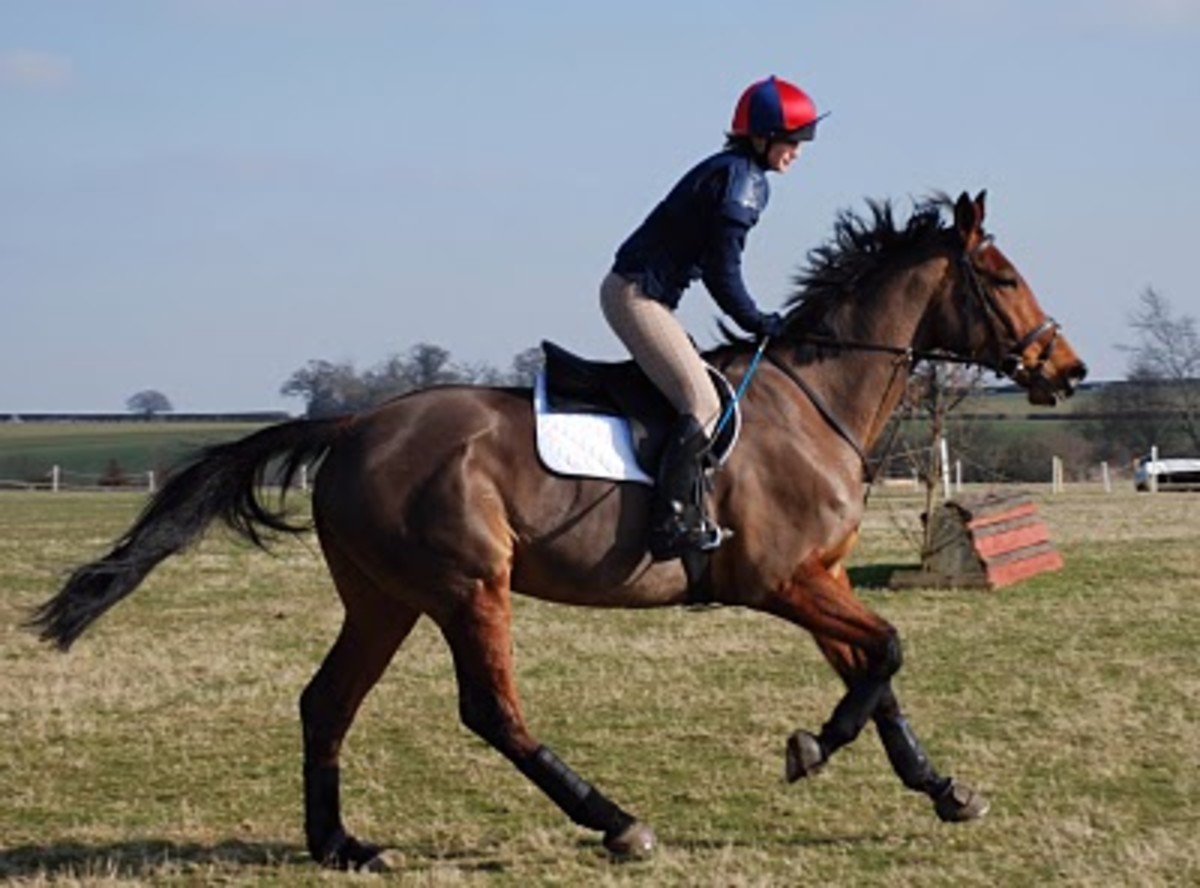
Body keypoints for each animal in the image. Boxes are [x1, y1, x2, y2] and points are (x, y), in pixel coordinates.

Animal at [29, 191, 1087, 871]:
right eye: (1003, 277)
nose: (1068, 370)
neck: (812, 397)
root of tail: (357, 423)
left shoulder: (819, 580)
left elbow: (878, 676)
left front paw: (942, 789)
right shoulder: (779, 583)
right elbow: (888, 654)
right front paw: (811, 750)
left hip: (383, 599)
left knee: (327, 702)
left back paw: (341, 845)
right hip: (468, 587)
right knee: (490, 711)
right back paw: (615, 821)